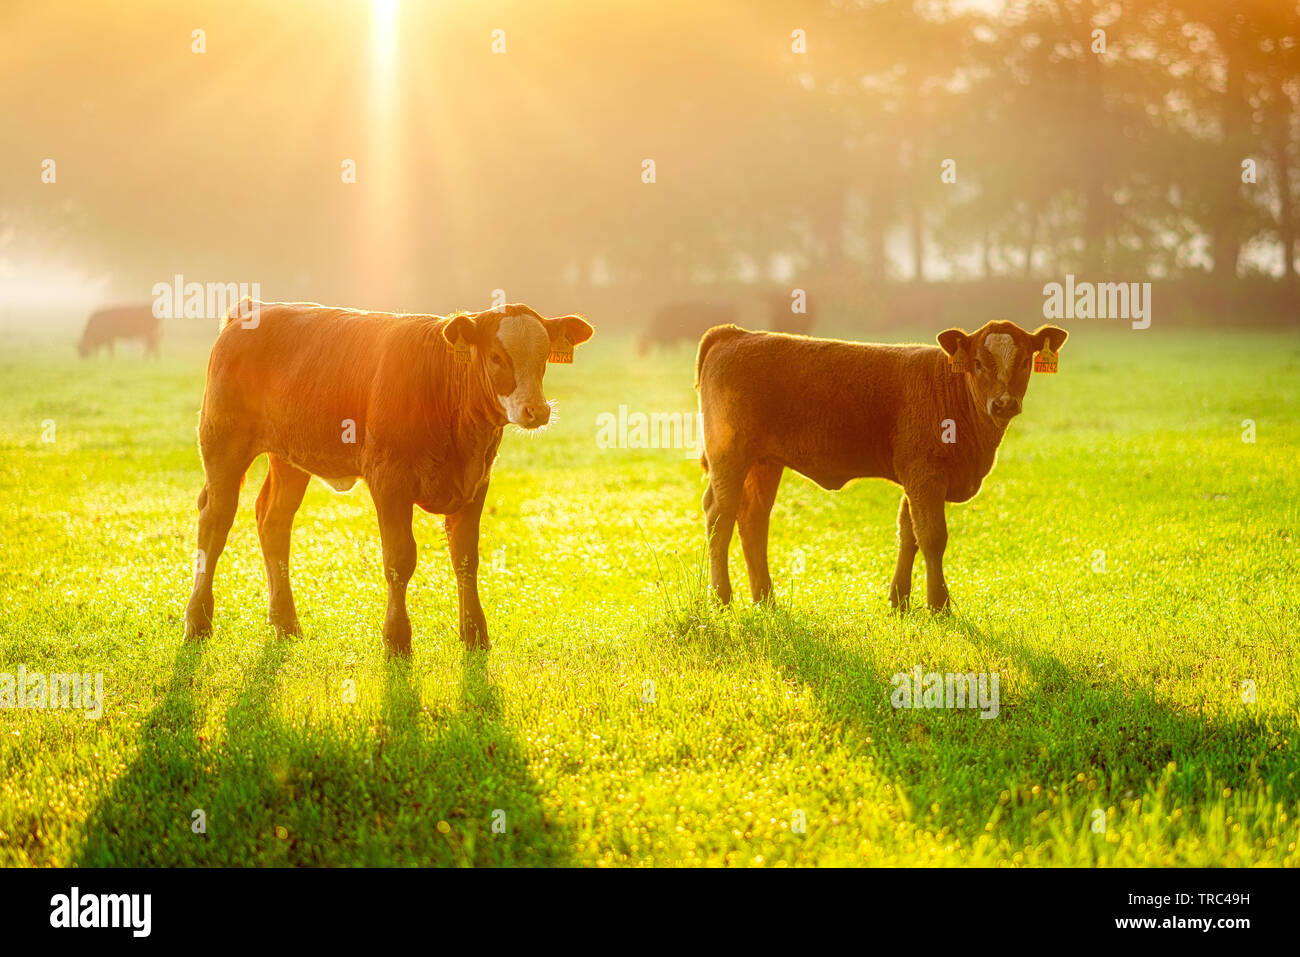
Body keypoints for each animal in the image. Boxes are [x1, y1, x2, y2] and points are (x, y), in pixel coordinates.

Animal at [183, 300, 595, 657]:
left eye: (544, 357)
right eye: (496, 357)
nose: (537, 410)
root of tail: (253, 309)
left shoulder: (476, 483)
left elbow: (465, 558)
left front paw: (475, 634)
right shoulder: (388, 480)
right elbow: (400, 558)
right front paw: (397, 639)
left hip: (289, 459)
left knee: (273, 521)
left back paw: (286, 623)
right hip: (223, 444)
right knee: (215, 520)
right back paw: (198, 621)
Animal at [696, 317, 1060, 608]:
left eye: (1025, 361)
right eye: (979, 363)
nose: (1004, 404)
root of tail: (734, 334)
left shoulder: (916, 480)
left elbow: (908, 534)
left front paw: (900, 600)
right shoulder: (925, 475)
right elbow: (932, 537)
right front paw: (939, 605)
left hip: (763, 463)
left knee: (753, 519)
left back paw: (765, 599)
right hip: (729, 457)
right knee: (720, 518)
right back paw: (722, 598)